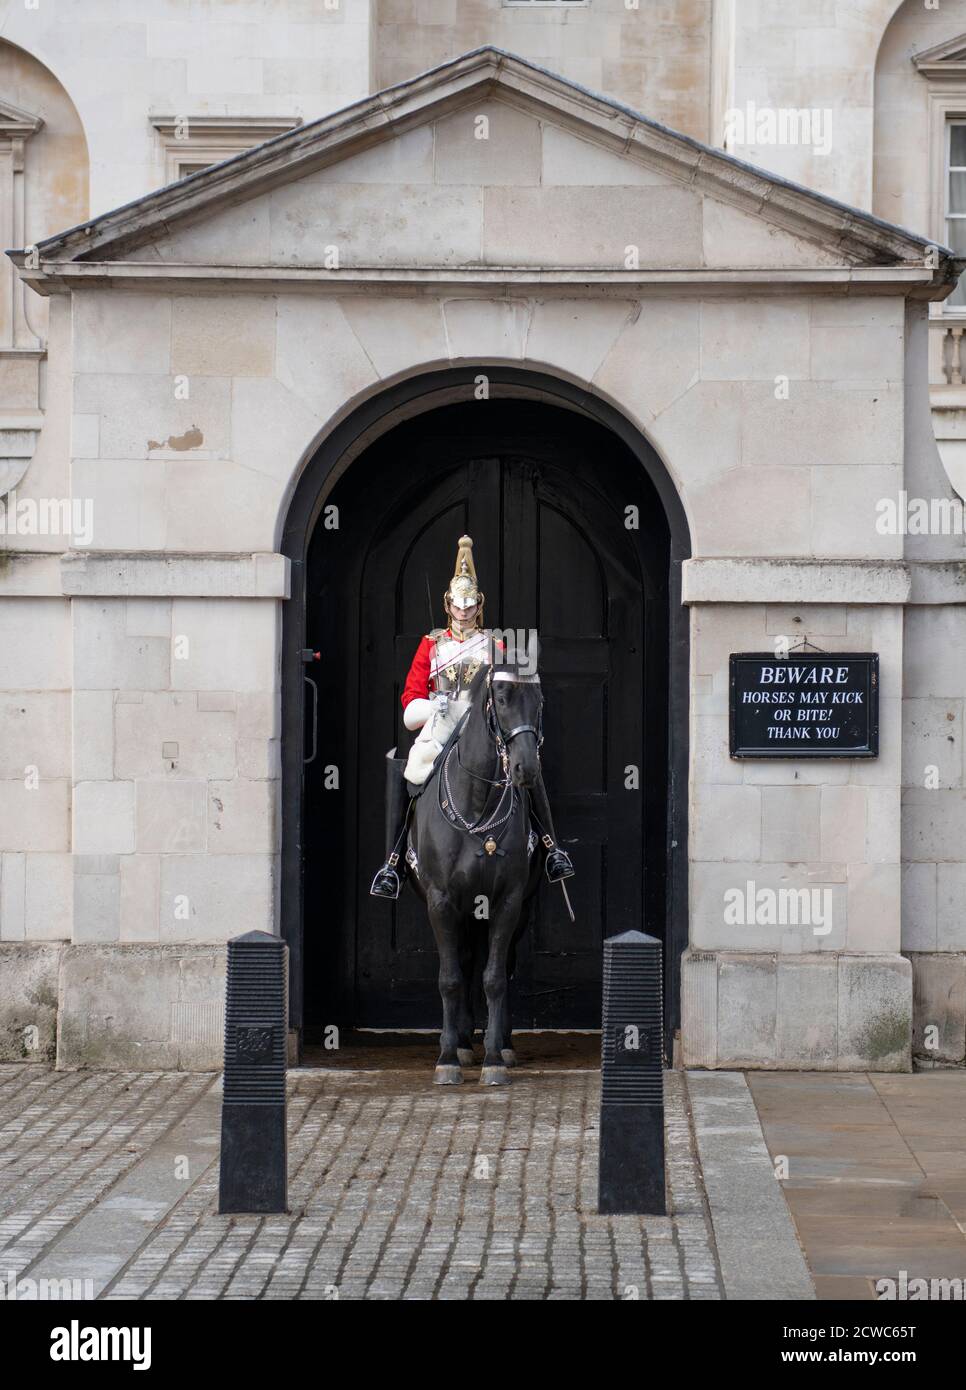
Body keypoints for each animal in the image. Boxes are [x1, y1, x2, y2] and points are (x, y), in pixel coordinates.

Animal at [405, 658, 547, 1084]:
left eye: (538, 698)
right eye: (500, 697)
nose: (526, 769)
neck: (477, 802)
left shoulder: (509, 902)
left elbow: (495, 978)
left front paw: (495, 1059)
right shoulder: (441, 902)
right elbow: (451, 979)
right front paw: (448, 1057)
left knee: (496, 966)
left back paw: (501, 1043)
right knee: (465, 963)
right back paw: (463, 1042)